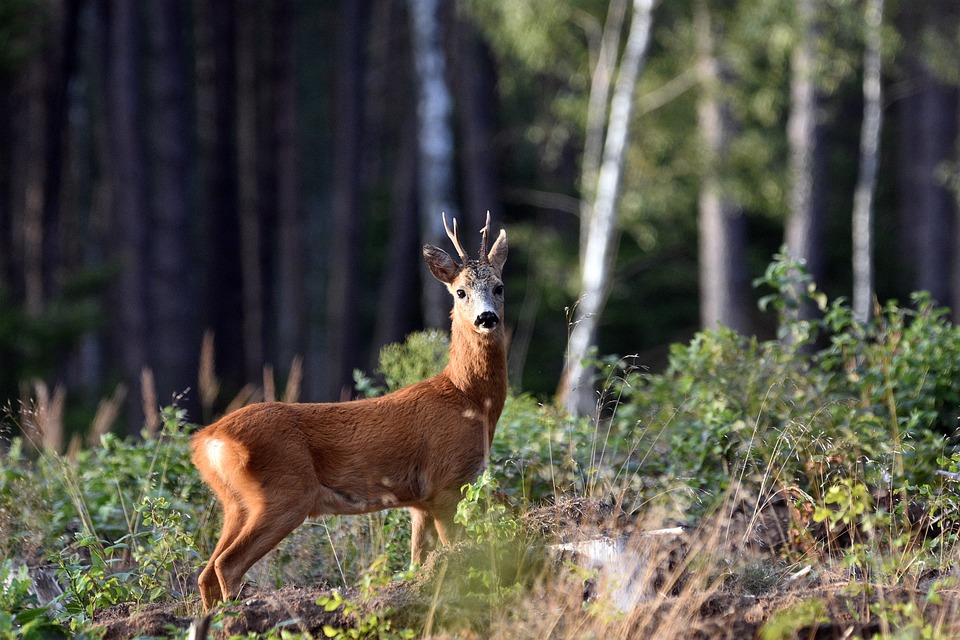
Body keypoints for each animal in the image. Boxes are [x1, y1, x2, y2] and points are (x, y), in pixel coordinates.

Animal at [191, 213, 508, 610]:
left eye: (499, 287)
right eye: (460, 291)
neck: (467, 399)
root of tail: (207, 441)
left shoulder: (418, 502)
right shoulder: (446, 483)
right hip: (284, 494)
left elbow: (417, 564)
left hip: (235, 502)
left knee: (206, 572)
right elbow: (458, 554)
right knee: (227, 566)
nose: (486, 318)